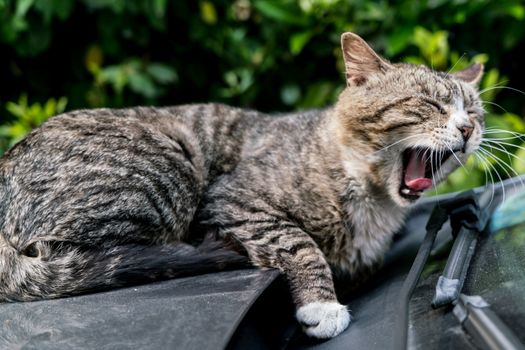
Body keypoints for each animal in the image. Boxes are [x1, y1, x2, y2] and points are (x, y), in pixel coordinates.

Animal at [0, 32, 484, 340]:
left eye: (474, 112)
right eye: (430, 104)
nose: (467, 129)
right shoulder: (232, 201)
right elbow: (299, 243)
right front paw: (322, 305)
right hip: (168, 168)